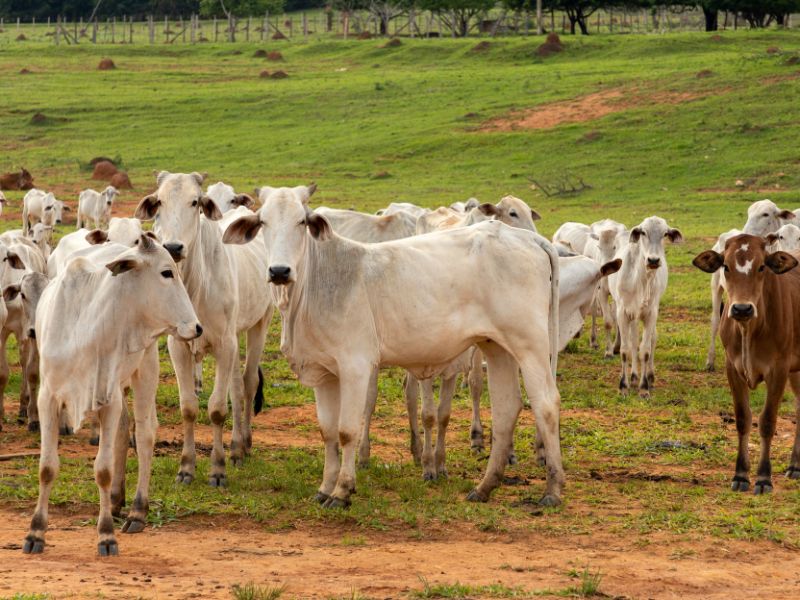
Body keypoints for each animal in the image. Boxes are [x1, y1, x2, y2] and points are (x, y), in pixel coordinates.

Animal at [24, 237, 203, 556]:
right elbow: (46, 467)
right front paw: (36, 533)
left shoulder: (107, 399)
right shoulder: (49, 398)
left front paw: (105, 534)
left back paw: (137, 510)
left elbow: (103, 469)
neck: (85, 327)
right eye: (166, 272)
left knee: (144, 432)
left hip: (145, 366)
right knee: (123, 428)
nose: (197, 327)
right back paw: (117, 501)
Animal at [136, 171, 274, 486]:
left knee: (248, 383)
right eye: (159, 201)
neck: (194, 285)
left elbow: (217, 409)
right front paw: (186, 467)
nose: (173, 248)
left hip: (260, 323)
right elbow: (189, 407)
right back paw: (236, 446)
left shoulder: (224, 343)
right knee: (236, 387)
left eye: (195, 202)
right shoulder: (178, 346)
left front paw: (218, 469)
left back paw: (244, 445)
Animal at [223, 185, 564, 508]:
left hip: (530, 345)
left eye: (301, 221)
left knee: (546, 402)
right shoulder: (323, 372)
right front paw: (324, 488)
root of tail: (531, 239)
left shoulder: (355, 366)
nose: (279, 271)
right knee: (507, 408)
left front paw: (342, 490)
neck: (318, 283)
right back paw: (485, 487)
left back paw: (552, 488)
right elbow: (328, 432)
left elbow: (347, 430)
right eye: (263, 222)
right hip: (497, 347)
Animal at [608, 217, 684, 398]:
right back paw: (634, 376)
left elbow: (645, 349)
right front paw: (623, 385)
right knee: (633, 340)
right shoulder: (623, 312)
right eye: (643, 232)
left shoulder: (651, 313)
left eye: (665, 234)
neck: (641, 280)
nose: (653, 260)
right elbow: (625, 349)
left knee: (651, 339)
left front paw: (644, 387)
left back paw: (648, 376)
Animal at [692, 234, 800, 492]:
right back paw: (794, 465)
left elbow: (767, 421)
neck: (749, 329)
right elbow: (743, 418)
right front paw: (740, 475)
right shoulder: (733, 368)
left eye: (762, 267)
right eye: (725, 266)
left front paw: (763, 478)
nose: (742, 308)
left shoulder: (778, 370)